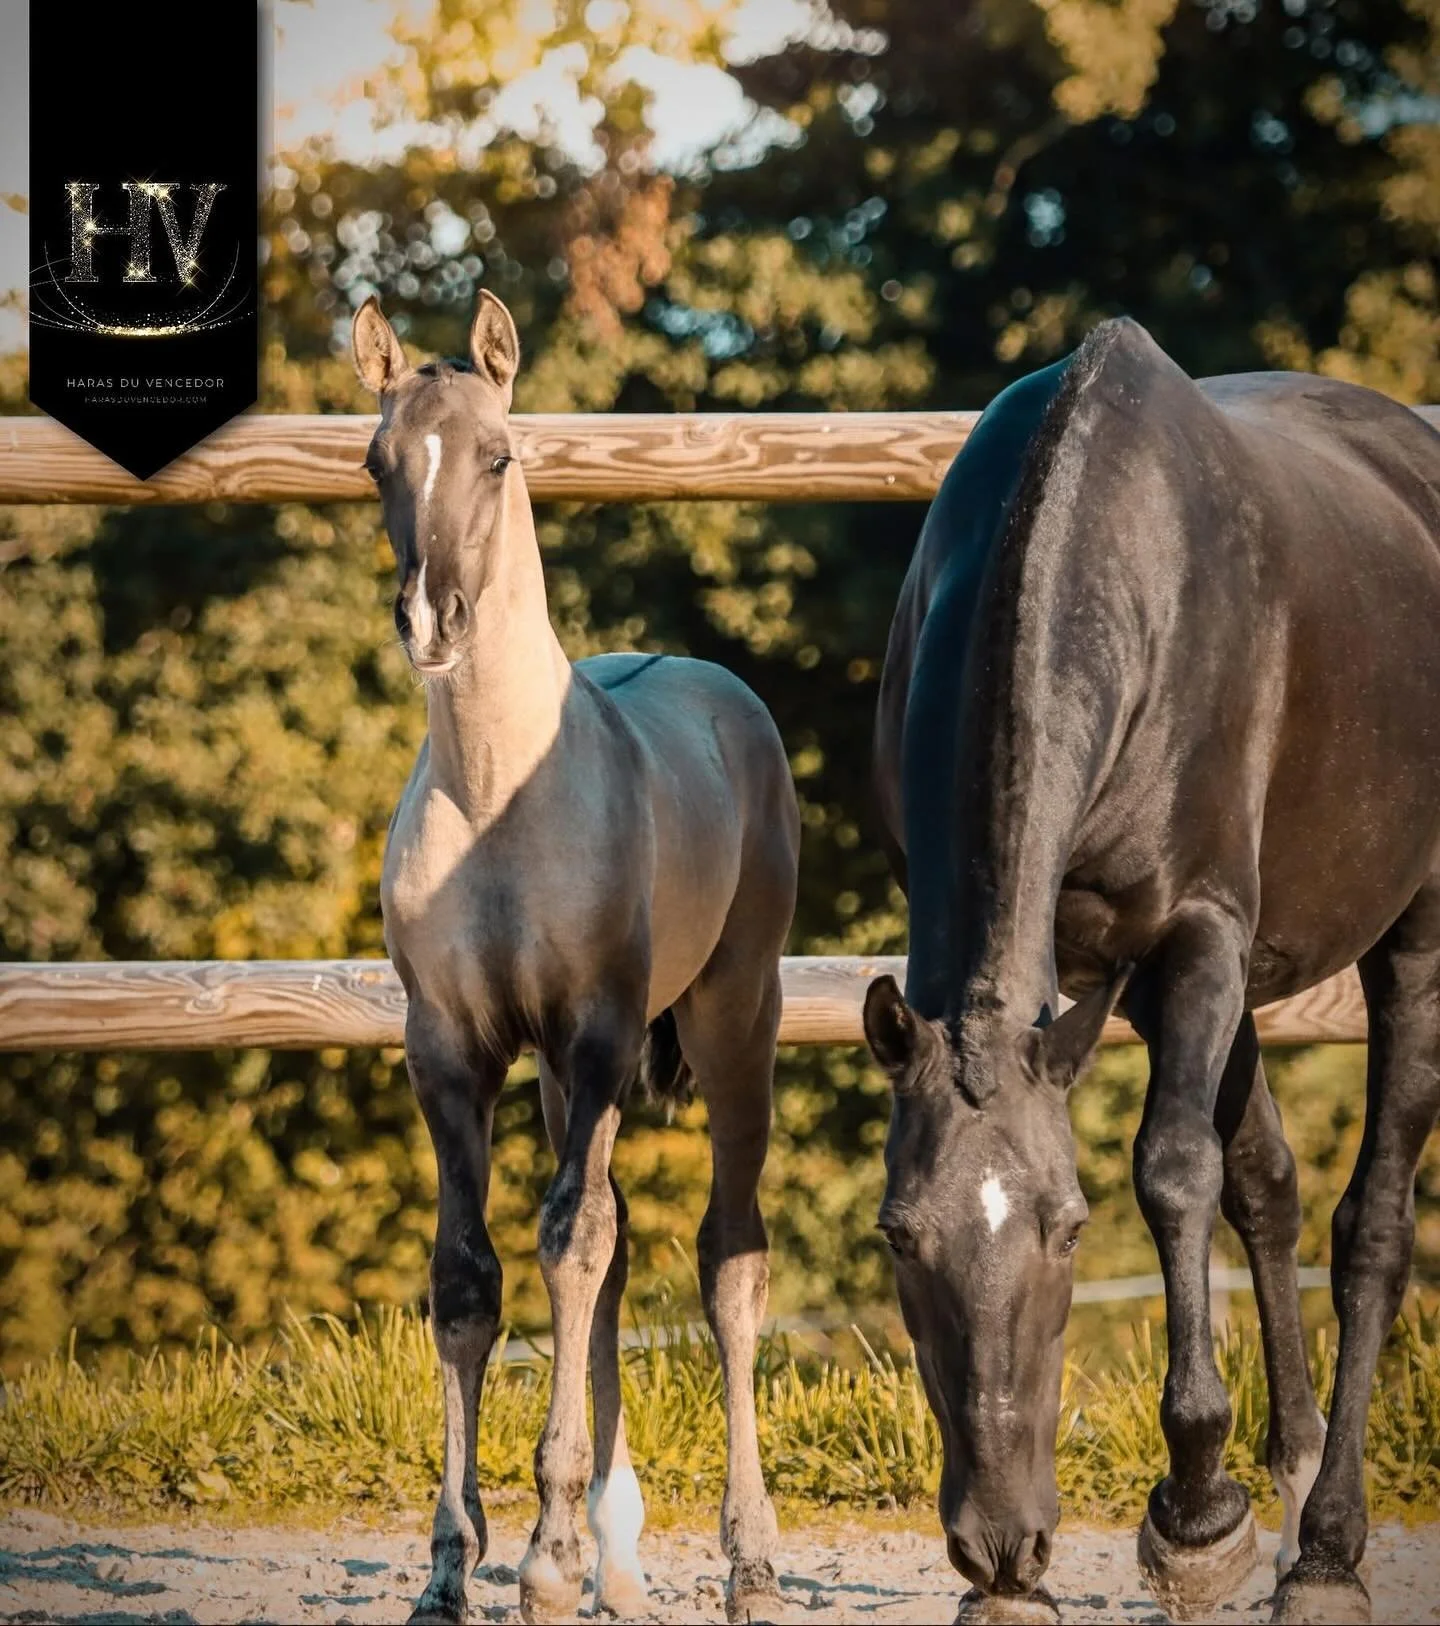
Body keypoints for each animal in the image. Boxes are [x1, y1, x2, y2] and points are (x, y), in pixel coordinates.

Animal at [352, 290, 800, 1626]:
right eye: (377, 463)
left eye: (498, 457)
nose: (432, 622)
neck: (500, 795)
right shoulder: (450, 1051)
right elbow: (472, 1278)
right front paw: (453, 1567)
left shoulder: (598, 1032)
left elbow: (569, 1247)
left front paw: (541, 1558)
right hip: (558, 1075)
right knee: (606, 1251)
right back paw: (616, 1559)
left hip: (731, 1024)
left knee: (722, 1261)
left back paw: (746, 1561)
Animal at [865, 317, 1440, 1624]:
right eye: (899, 1236)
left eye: (1071, 1229)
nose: (1002, 1543)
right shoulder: (1126, 970)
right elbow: (1237, 1182)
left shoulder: (1199, 933)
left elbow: (1173, 1173)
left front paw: (1194, 1515)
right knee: (1271, 1190)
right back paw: (1291, 1477)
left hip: (1414, 939)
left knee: (1371, 1227)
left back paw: (1326, 1546)